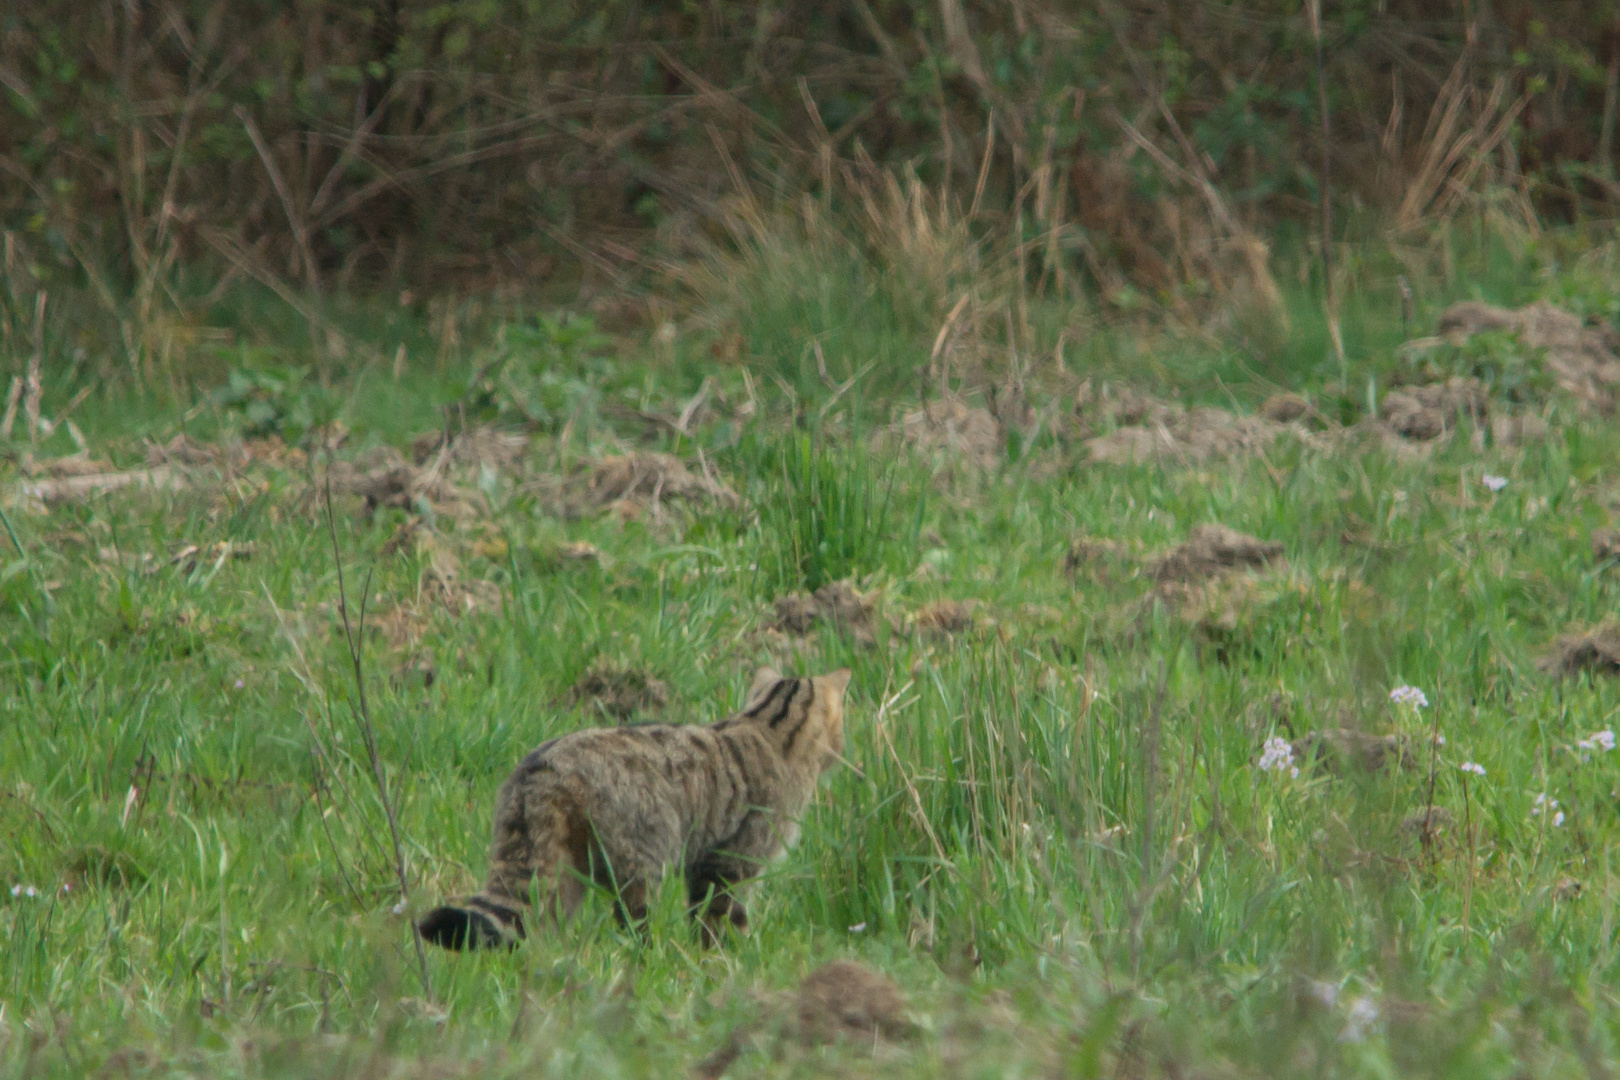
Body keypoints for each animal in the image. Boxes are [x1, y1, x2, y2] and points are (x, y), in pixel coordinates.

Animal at [417, 663, 855, 952]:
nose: (842, 748)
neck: (768, 726)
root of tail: (543, 770)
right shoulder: (729, 862)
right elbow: (718, 920)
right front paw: (727, 958)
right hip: (641, 860)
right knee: (633, 923)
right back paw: (647, 958)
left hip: (562, 872)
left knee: (539, 922)